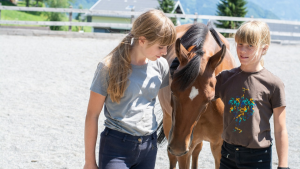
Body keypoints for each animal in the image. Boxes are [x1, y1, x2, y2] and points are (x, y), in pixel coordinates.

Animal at [158, 22, 236, 169]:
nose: (177, 147)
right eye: (172, 91)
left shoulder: (219, 146)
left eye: (208, 99)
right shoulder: (184, 150)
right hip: (169, 124)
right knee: (172, 157)